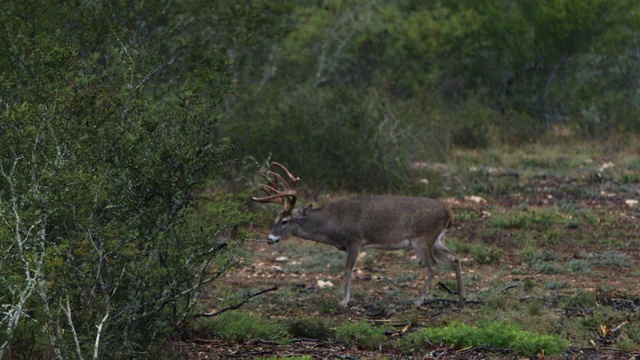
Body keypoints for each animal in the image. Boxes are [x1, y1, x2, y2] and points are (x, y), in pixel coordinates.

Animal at [250, 163, 464, 306]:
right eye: (276, 218)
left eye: (285, 221)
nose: (270, 239)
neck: (333, 223)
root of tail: (449, 212)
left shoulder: (355, 240)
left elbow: (348, 269)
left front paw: (344, 301)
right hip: (436, 240)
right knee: (455, 257)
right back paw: (462, 297)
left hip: (422, 238)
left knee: (433, 266)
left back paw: (419, 300)